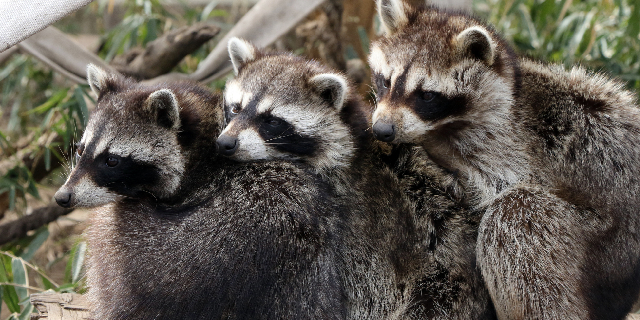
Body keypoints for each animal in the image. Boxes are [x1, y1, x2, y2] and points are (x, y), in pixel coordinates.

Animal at [368, 1, 640, 318]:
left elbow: (491, 189)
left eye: (427, 96)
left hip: (610, 248)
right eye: (385, 82)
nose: (382, 130)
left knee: (516, 214)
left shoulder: (509, 144)